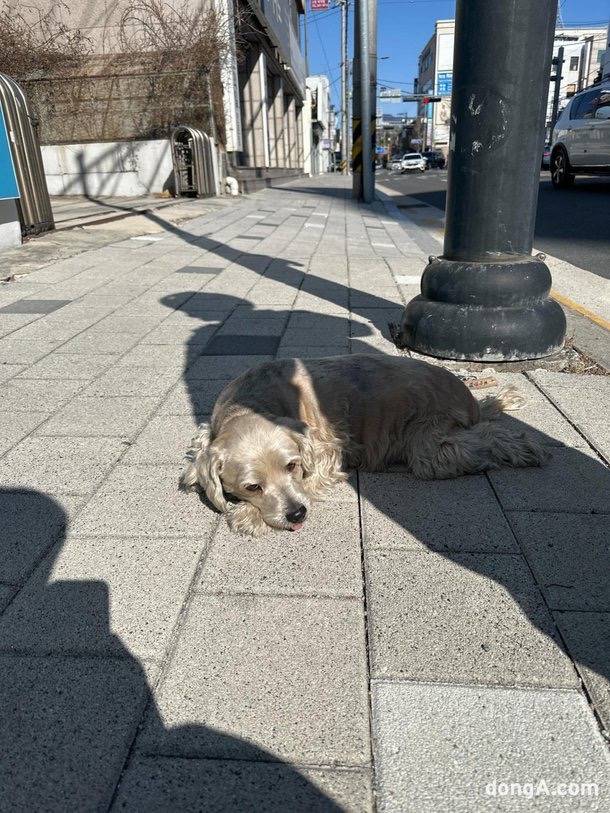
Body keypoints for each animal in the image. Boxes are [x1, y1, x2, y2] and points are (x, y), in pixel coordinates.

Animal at [178, 354, 544, 532]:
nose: (296, 514)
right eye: (252, 487)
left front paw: (247, 517)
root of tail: (468, 397)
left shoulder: (327, 448)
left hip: (428, 439)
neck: (252, 400)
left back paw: (522, 446)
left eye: (292, 466)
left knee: (477, 439)